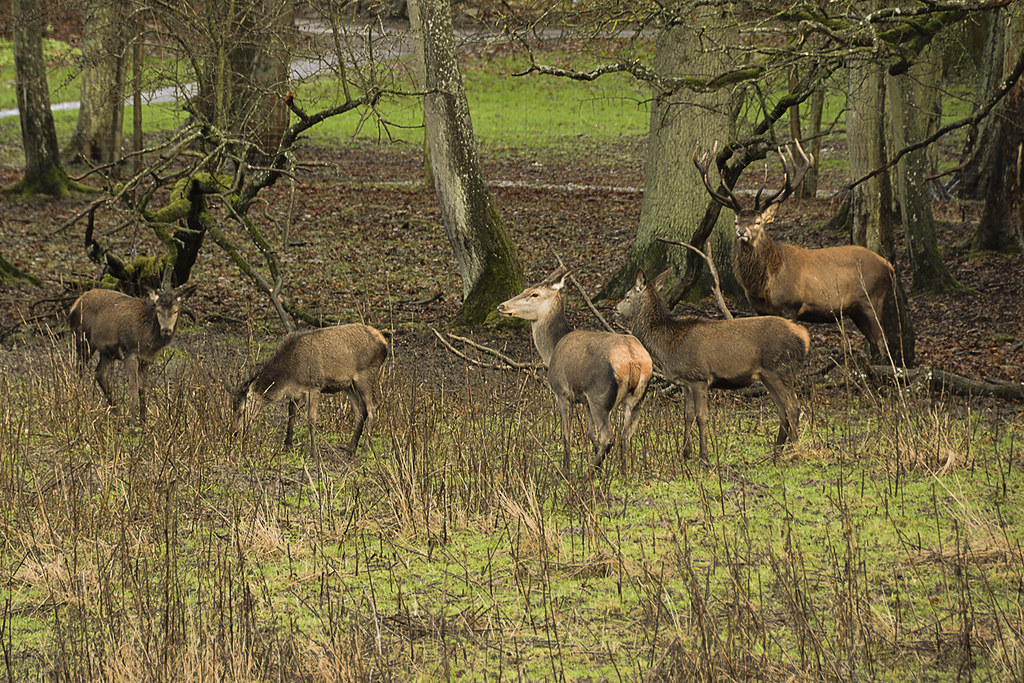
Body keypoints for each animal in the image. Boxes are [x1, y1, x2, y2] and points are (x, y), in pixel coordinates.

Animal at [69, 285, 196, 424]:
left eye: (175, 311)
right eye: (158, 311)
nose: (166, 330)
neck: (147, 340)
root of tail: (73, 307)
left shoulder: (147, 359)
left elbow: (143, 387)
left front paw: (144, 420)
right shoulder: (130, 351)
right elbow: (133, 386)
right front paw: (133, 421)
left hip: (107, 352)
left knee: (100, 374)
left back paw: (116, 412)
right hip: (84, 340)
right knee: (78, 372)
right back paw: (78, 405)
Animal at [232, 324, 388, 457]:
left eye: (242, 410)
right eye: (233, 409)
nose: (235, 433)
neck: (289, 375)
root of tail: (384, 343)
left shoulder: (315, 386)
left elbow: (311, 419)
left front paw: (313, 452)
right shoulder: (295, 392)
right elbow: (291, 414)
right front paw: (287, 445)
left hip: (366, 374)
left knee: (373, 406)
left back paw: (364, 449)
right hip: (349, 385)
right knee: (360, 411)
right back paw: (350, 448)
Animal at [497, 267, 653, 475]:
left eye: (534, 293)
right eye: (526, 289)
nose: (502, 306)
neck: (552, 349)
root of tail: (634, 361)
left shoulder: (562, 392)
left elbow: (567, 434)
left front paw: (565, 470)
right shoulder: (585, 401)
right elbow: (590, 433)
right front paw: (602, 470)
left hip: (600, 396)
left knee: (609, 437)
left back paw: (588, 473)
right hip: (638, 398)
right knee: (625, 436)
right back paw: (624, 473)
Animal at [616, 269, 810, 461]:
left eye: (627, 296)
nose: (615, 308)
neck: (666, 346)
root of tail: (805, 337)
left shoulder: (699, 378)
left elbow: (701, 417)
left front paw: (704, 457)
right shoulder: (685, 382)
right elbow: (687, 415)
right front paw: (685, 453)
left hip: (780, 369)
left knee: (793, 408)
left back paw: (794, 452)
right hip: (768, 376)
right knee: (782, 412)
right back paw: (777, 453)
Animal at [694, 141, 896, 360]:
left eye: (758, 222)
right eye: (736, 221)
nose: (741, 233)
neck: (766, 283)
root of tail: (889, 266)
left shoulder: (790, 305)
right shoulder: (761, 310)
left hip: (871, 299)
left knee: (882, 341)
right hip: (857, 309)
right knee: (875, 342)